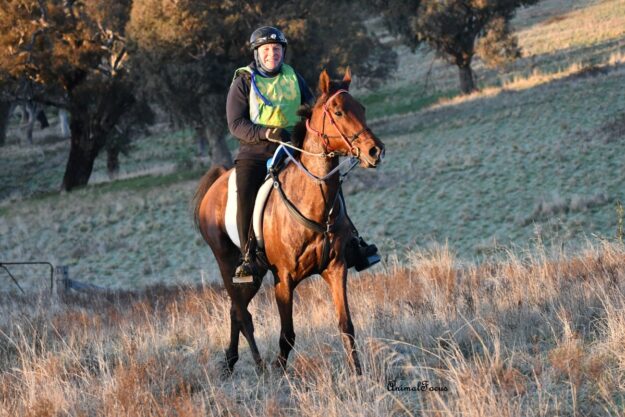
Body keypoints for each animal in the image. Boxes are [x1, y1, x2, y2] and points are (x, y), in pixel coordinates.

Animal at [192, 69, 385, 375]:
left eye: (362, 108)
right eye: (338, 112)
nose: (375, 151)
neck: (313, 203)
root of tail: (217, 181)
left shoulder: (336, 269)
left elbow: (346, 325)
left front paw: (358, 374)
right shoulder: (283, 280)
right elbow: (287, 335)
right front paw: (279, 373)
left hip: (255, 275)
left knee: (235, 311)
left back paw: (230, 362)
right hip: (228, 264)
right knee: (242, 313)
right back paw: (259, 367)